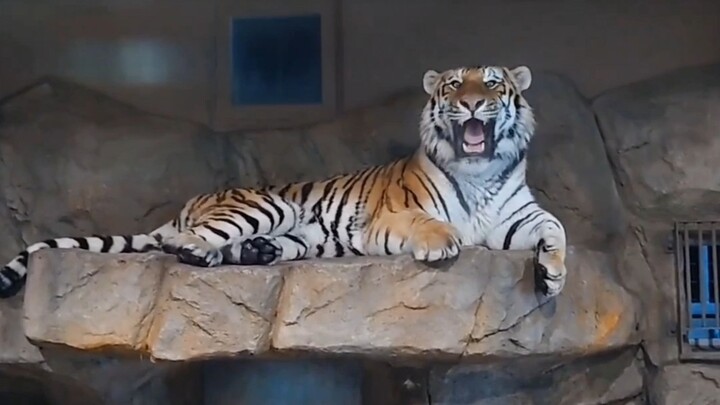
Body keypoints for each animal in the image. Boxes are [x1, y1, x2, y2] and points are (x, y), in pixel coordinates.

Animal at [0, 65, 567, 300]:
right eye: (453, 85)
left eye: (491, 83)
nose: (470, 102)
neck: (480, 174)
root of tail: (191, 202)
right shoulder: (388, 217)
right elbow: (427, 223)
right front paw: (440, 244)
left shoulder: (519, 217)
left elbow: (556, 228)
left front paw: (553, 274)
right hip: (264, 207)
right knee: (186, 243)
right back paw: (201, 250)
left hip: (298, 233)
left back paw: (256, 253)